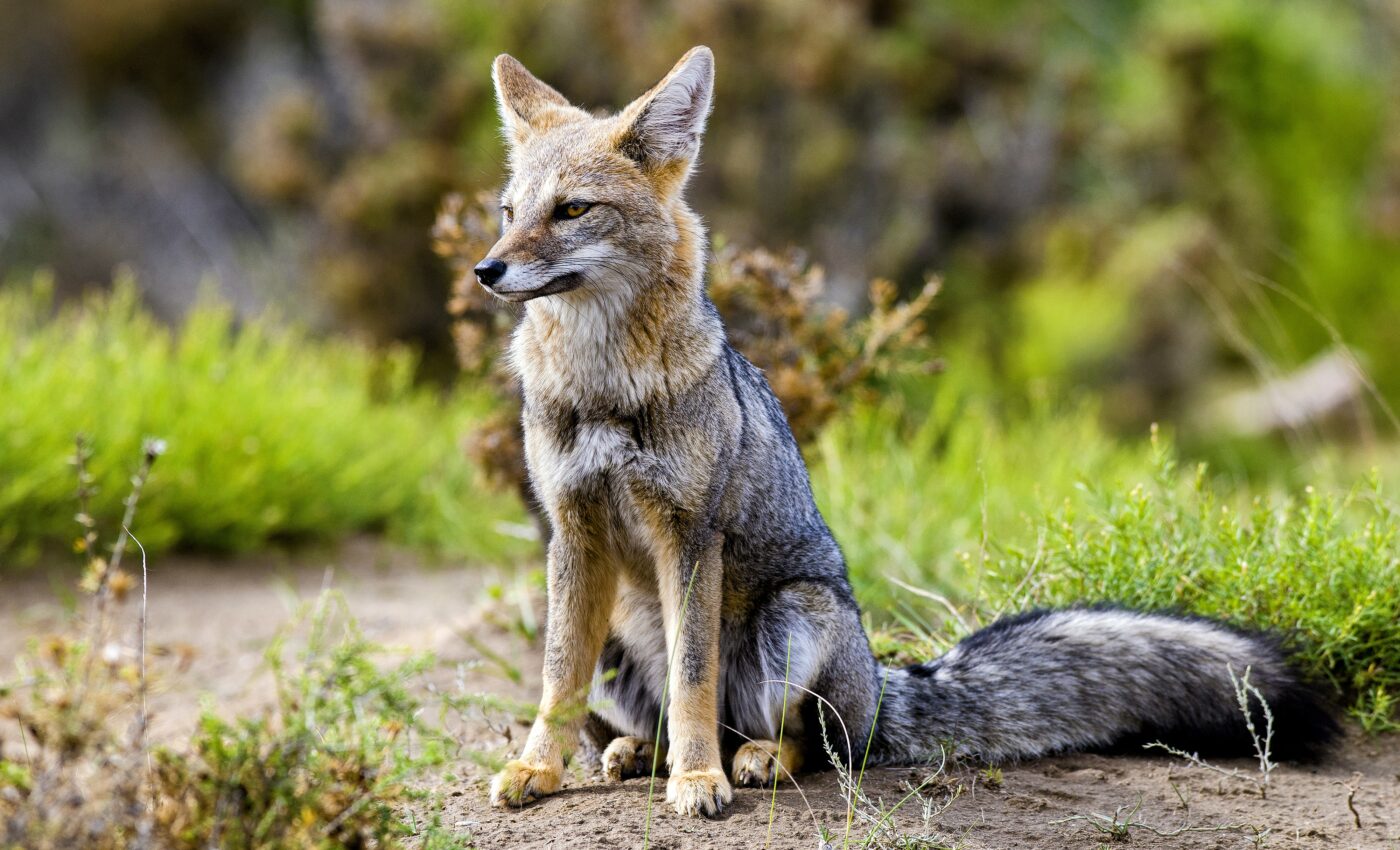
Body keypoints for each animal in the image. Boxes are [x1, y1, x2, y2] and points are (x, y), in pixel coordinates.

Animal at [475, 46, 1339, 818]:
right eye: (509, 213)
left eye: (573, 210)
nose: (485, 270)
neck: (601, 386)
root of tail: (886, 681)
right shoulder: (573, 531)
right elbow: (557, 679)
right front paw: (536, 770)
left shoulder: (689, 536)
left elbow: (692, 682)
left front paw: (697, 784)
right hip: (621, 635)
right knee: (660, 714)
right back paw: (636, 753)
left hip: (796, 619)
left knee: (811, 744)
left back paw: (745, 760)